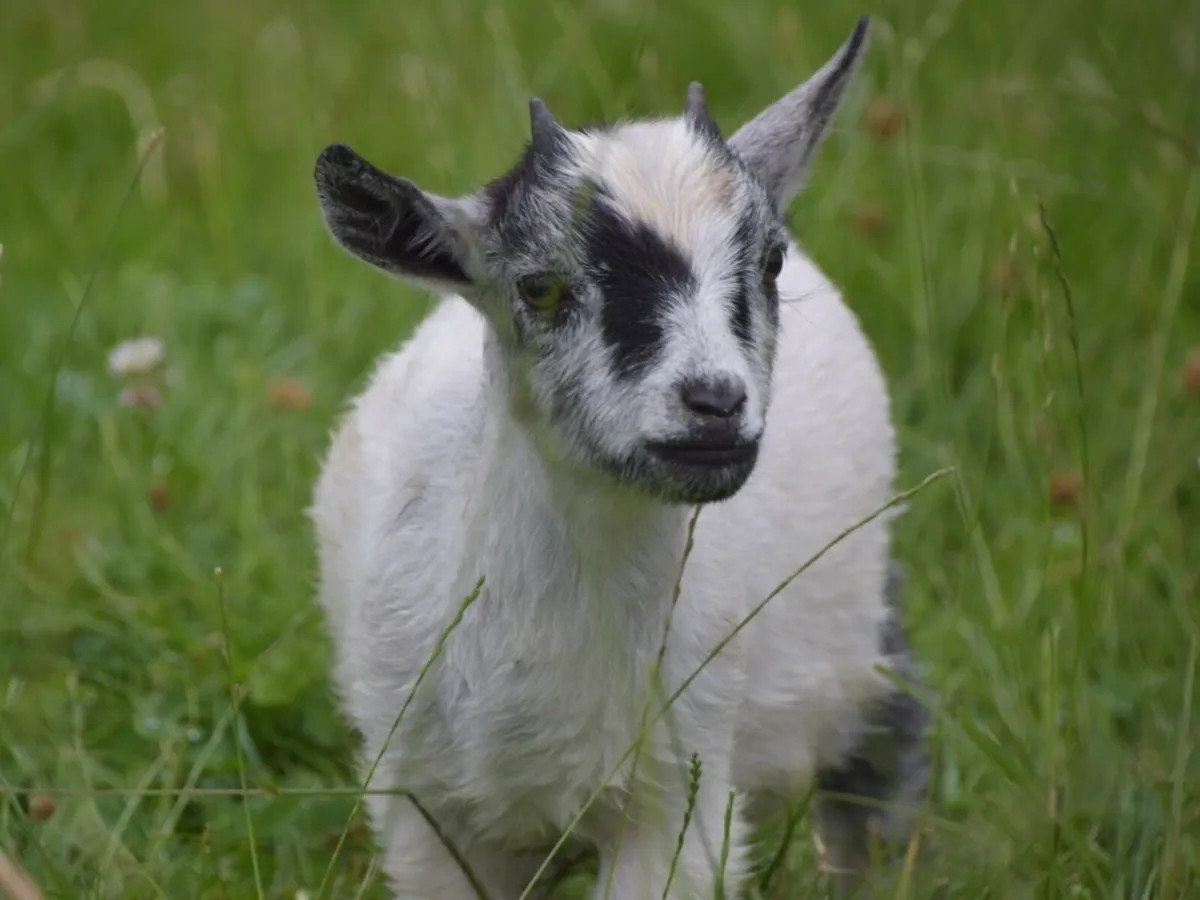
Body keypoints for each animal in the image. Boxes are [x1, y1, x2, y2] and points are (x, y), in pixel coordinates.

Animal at [309, 15, 929, 899]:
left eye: (768, 263)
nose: (714, 402)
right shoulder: (423, 809)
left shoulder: (679, 804)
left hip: (865, 639)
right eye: (536, 287)